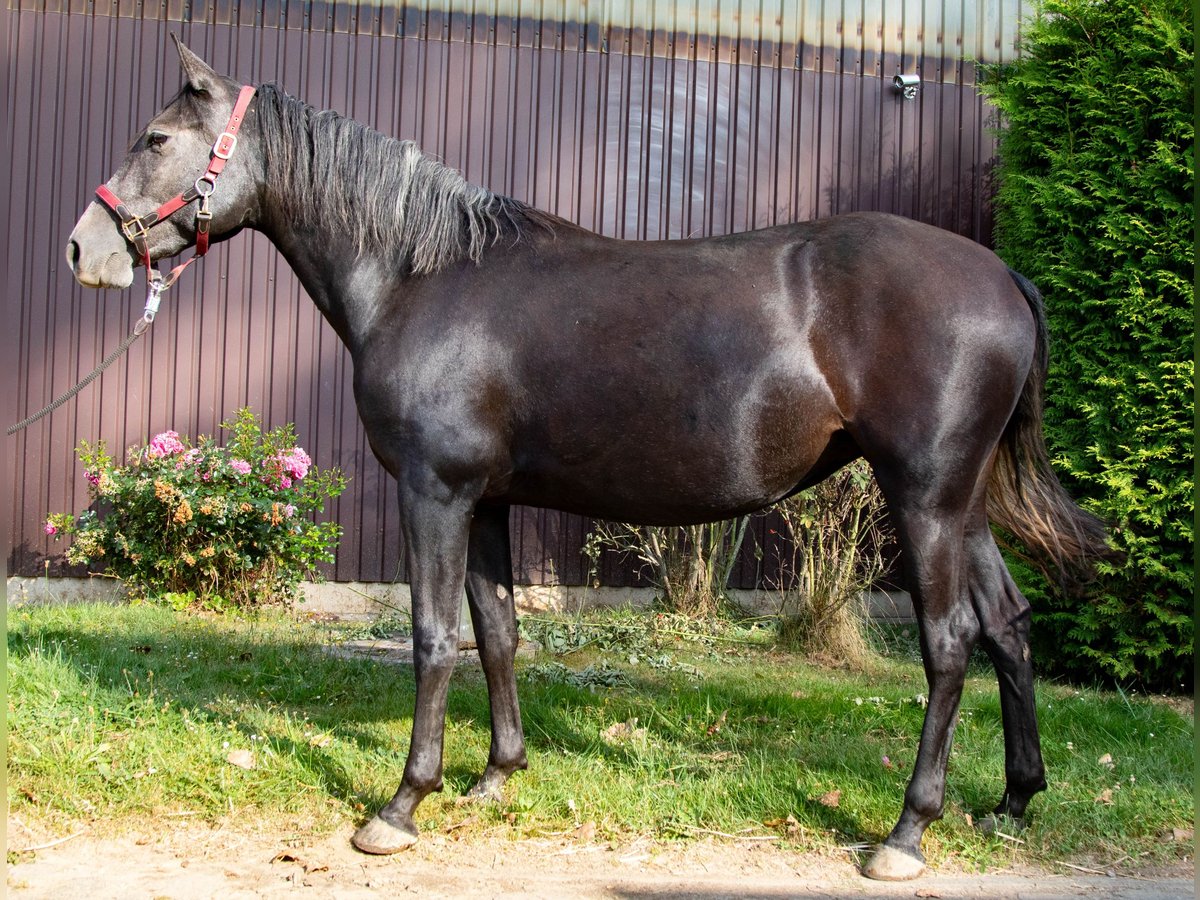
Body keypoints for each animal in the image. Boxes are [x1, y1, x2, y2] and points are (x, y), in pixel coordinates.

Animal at [63, 40, 1104, 883]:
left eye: (156, 137)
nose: (82, 248)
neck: (420, 277)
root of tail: (1003, 276)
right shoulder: (484, 501)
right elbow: (497, 632)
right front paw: (495, 777)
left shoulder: (434, 494)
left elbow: (433, 638)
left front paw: (400, 807)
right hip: (961, 503)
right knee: (1007, 626)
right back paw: (1013, 800)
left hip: (923, 497)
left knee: (949, 644)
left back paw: (905, 834)